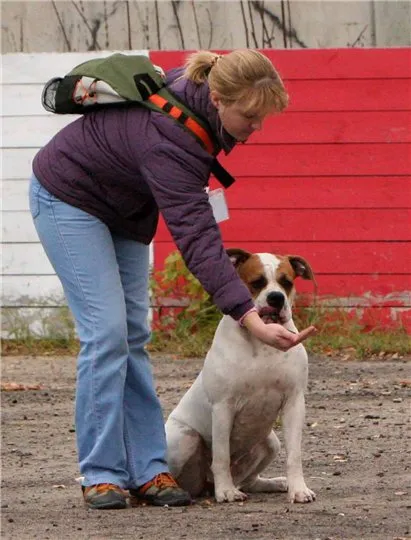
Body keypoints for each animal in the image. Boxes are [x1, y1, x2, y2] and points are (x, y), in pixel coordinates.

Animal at [167, 251, 318, 504]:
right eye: (257, 282)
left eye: (287, 282)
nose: (276, 298)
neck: (261, 341)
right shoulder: (223, 407)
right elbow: (221, 456)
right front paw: (226, 491)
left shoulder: (294, 402)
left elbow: (294, 455)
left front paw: (299, 489)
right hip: (185, 437)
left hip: (270, 442)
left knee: (249, 480)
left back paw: (275, 482)